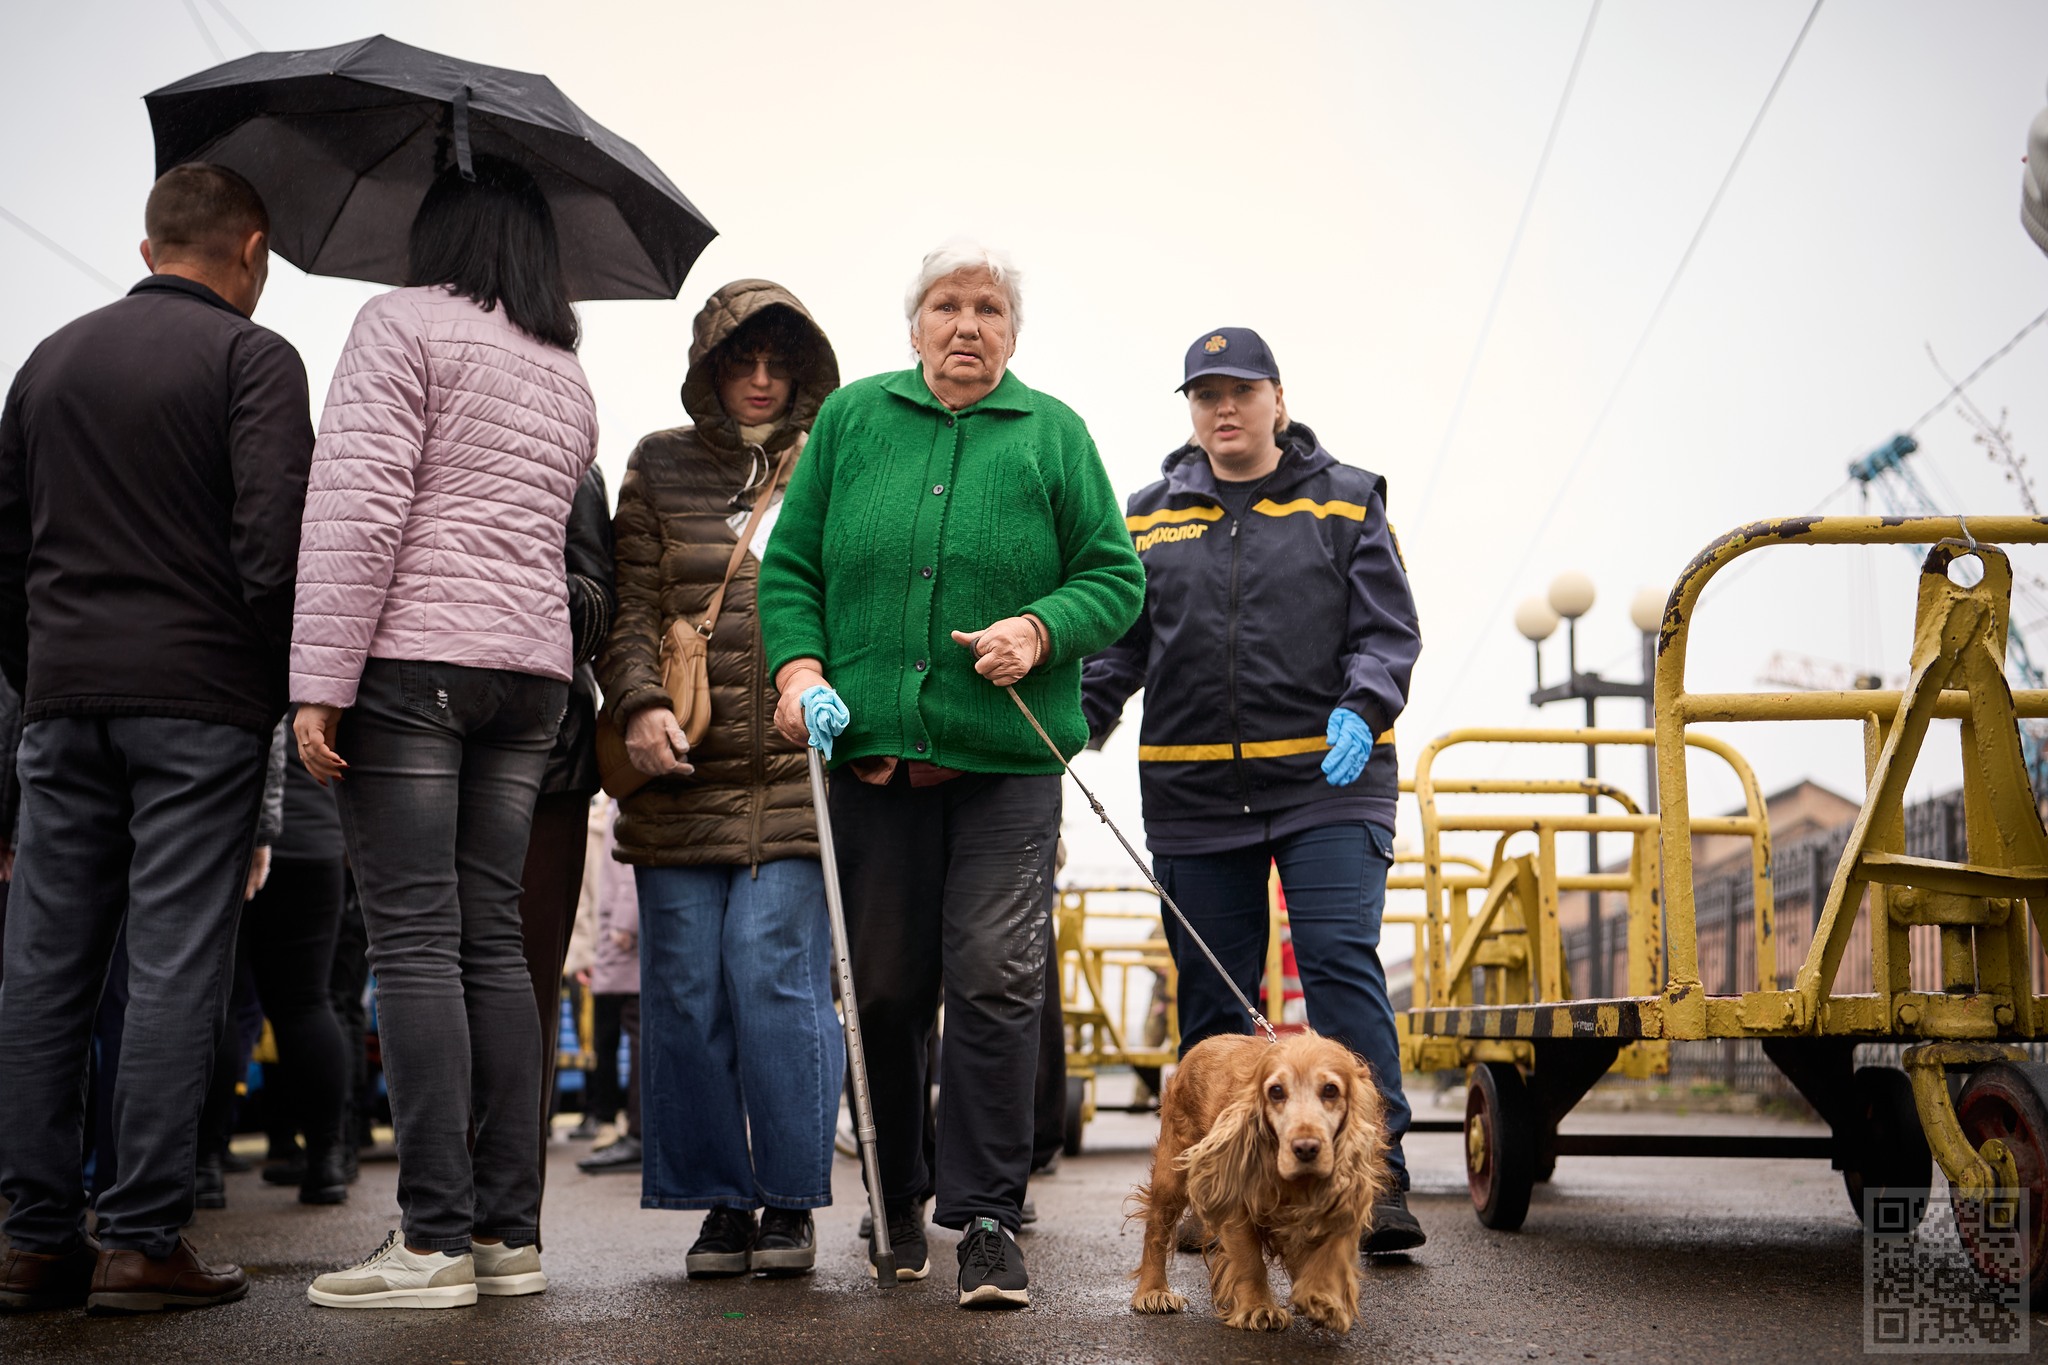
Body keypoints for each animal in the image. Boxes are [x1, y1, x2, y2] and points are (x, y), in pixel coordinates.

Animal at [1129, 1031, 1388, 1333]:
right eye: (1276, 1091)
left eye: (1330, 1090)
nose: (1306, 1148)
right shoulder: (1236, 1201)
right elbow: (1249, 1258)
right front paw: (1258, 1307)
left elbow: (1329, 1250)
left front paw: (1321, 1298)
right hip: (1172, 1172)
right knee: (1156, 1229)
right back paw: (1153, 1291)